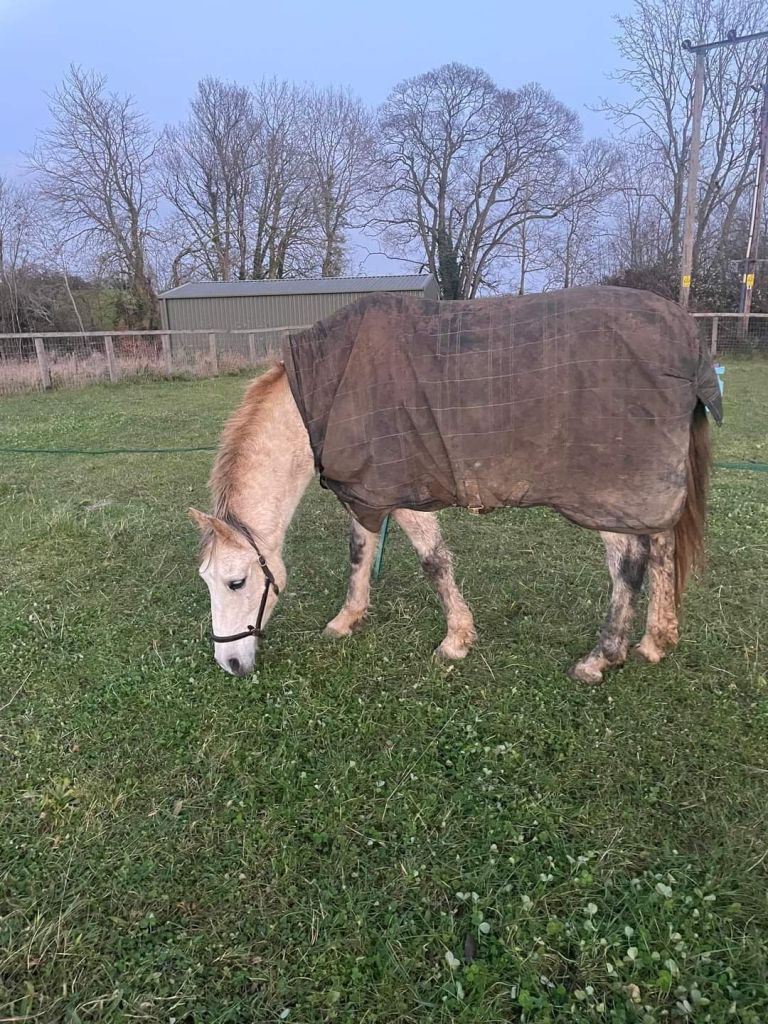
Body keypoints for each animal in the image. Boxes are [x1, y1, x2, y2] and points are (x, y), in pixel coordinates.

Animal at [190, 287, 718, 684]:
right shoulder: (366, 493)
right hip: (645, 491)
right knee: (663, 547)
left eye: (237, 582)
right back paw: (656, 640)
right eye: (207, 580)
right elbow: (360, 553)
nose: (229, 663)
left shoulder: (402, 495)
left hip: (608, 497)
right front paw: (347, 620)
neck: (321, 398)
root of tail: (688, 338)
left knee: (628, 566)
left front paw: (456, 640)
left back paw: (601, 658)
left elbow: (433, 562)